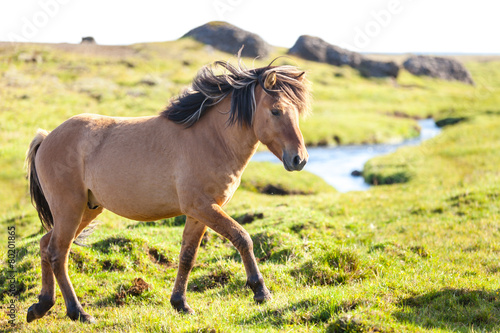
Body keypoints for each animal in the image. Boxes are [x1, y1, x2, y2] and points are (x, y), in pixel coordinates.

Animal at [26, 59, 312, 322]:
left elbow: (187, 256)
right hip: (70, 209)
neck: (211, 140)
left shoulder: (200, 213)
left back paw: (41, 306)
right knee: (58, 254)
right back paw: (78, 312)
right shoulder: (202, 207)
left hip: (86, 210)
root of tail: (47, 137)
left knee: (45, 245)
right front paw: (261, 291)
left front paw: (180, 303)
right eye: (276, 111)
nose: (299, 159)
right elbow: (242, 237)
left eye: (297, 112)